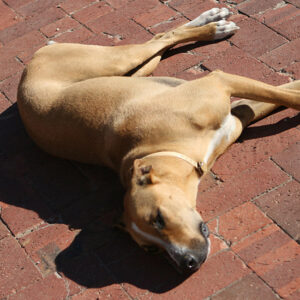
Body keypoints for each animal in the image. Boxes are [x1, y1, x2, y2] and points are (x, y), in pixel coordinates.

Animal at [17, 8, 300, 274]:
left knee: (162, 37)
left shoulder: (220, 80)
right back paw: (211, 21)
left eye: (159, 218)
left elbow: (285, 95)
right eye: (151, 250)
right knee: (158, 42)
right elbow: (279, 95)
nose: (187, 263)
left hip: (115, 60)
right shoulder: (238, 112)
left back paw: (213, 27)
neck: (165, 148)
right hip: (126, 69)